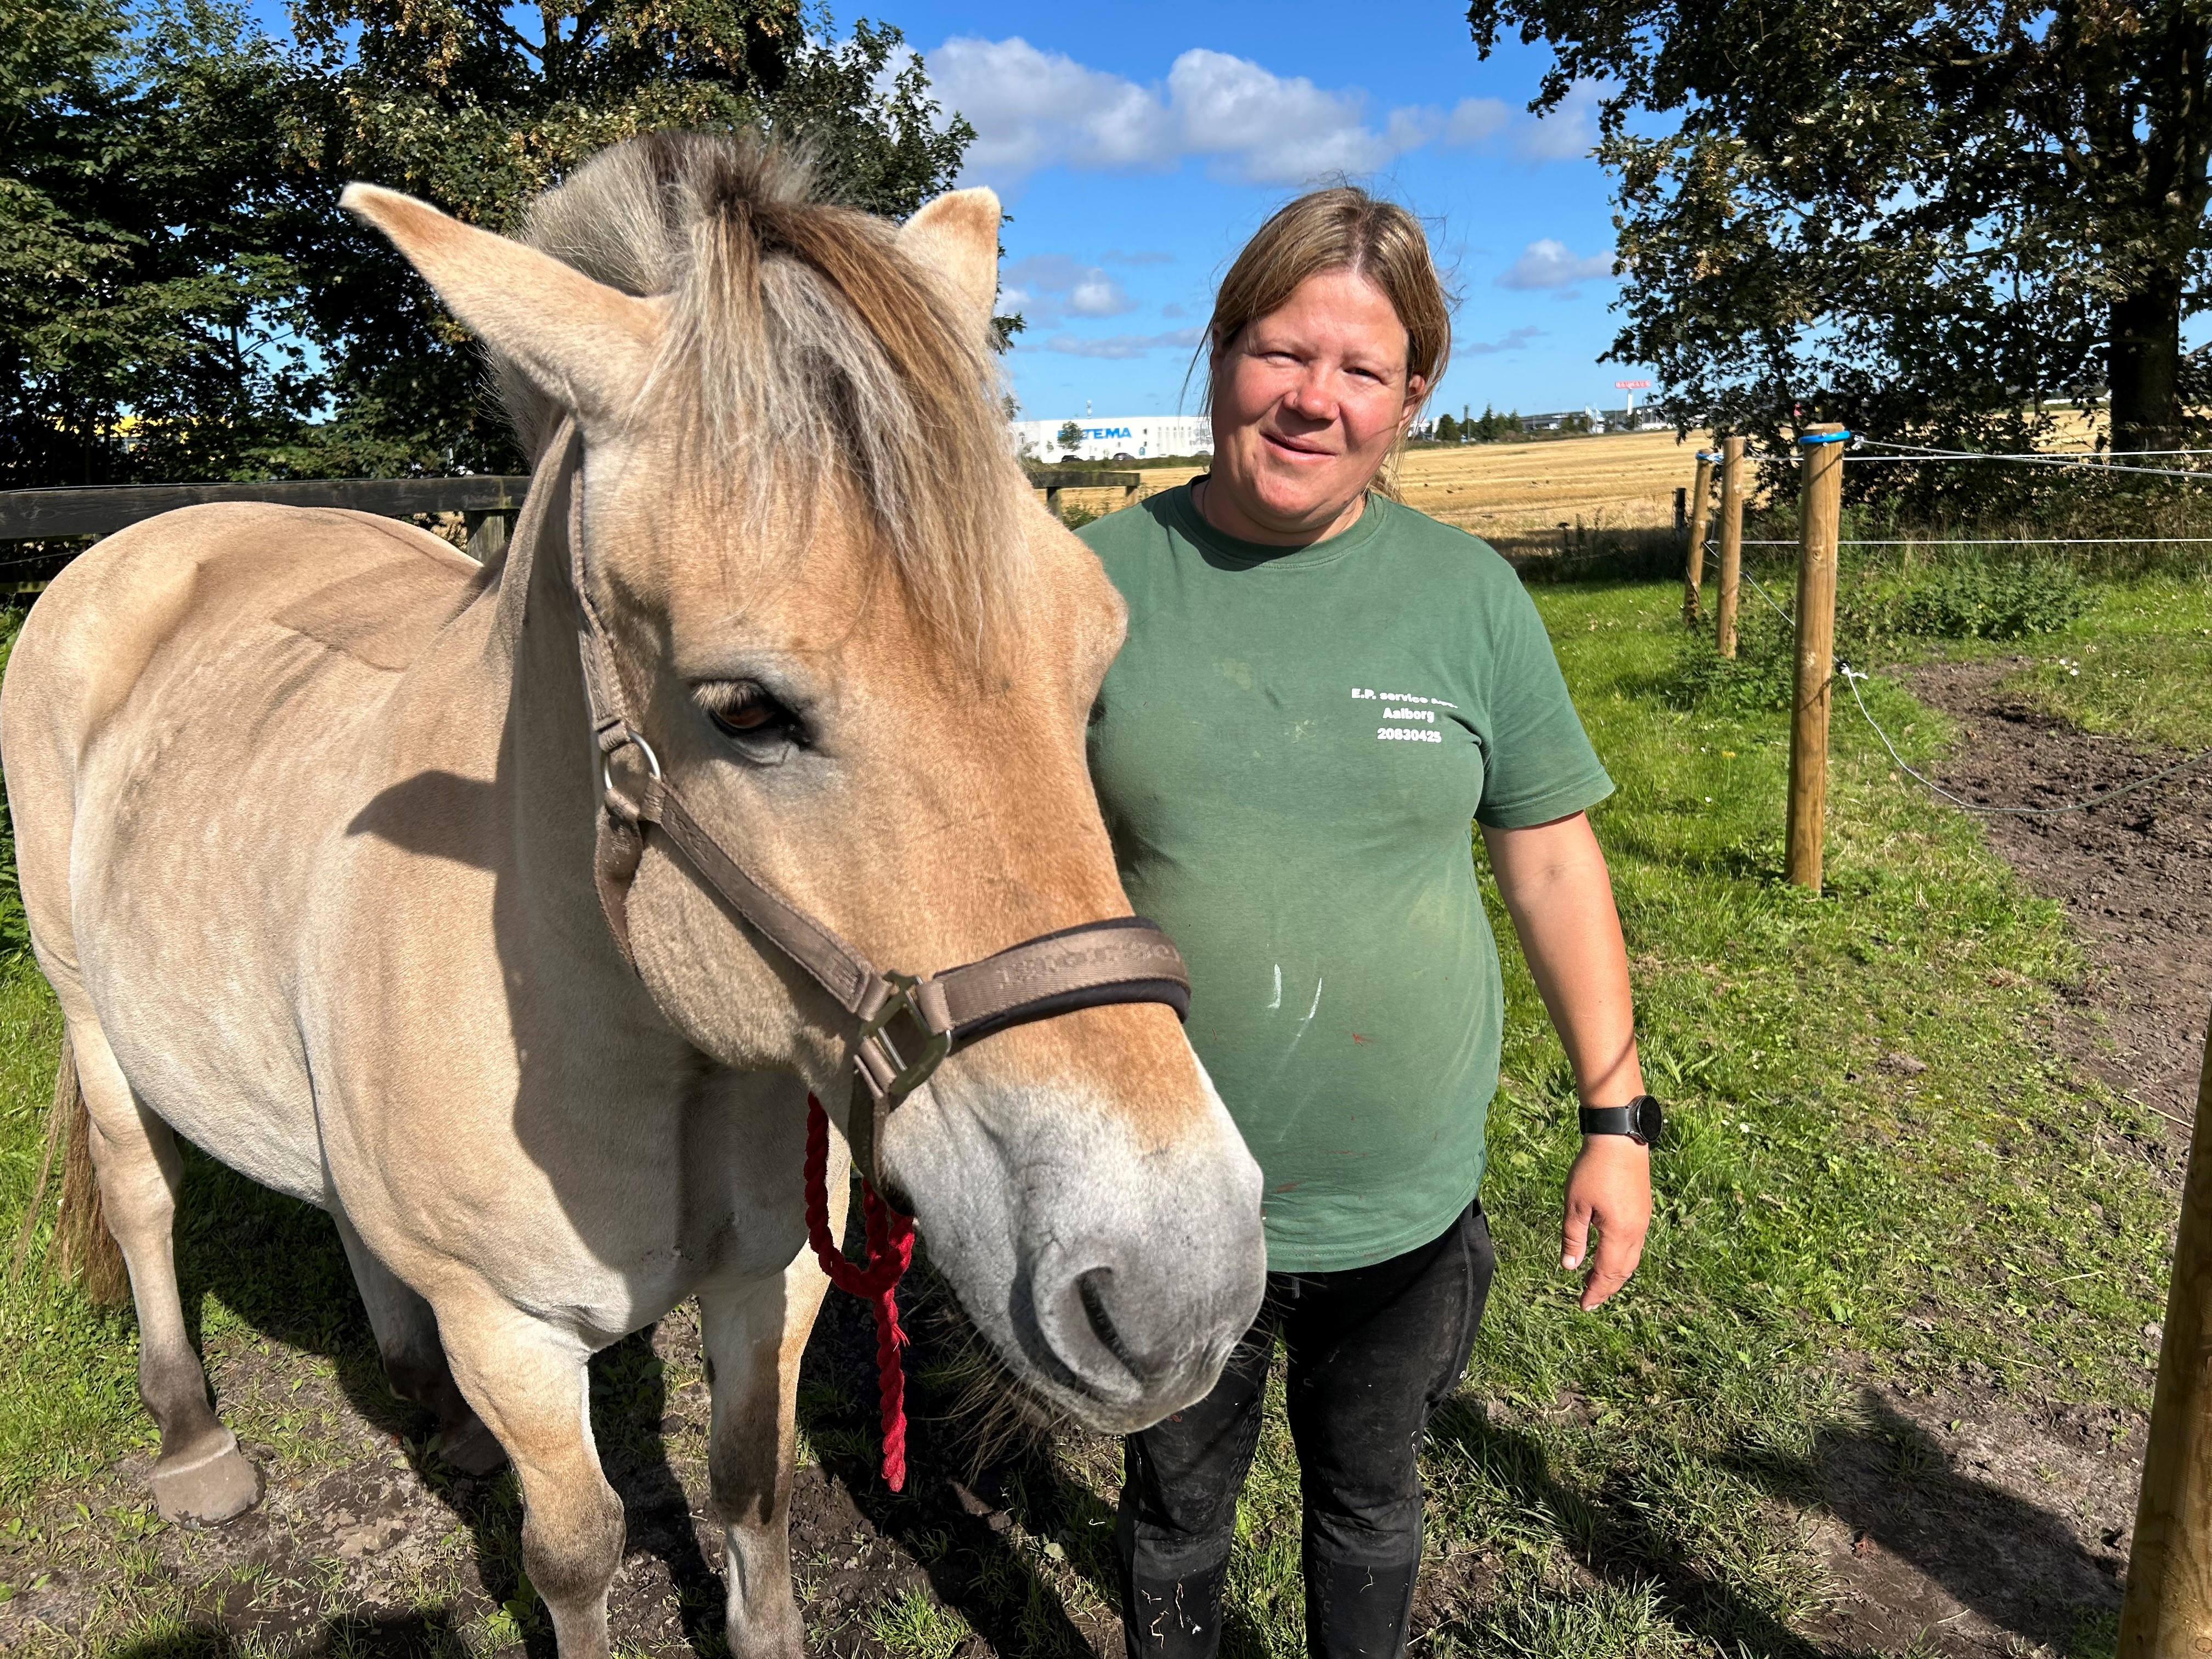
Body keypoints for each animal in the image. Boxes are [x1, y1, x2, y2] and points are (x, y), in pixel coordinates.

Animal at [0, 136, 1274, 1654]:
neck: (637, 1041)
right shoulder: (514, 1334)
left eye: (1096, 656)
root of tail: (147, 540)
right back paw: (194, 1438)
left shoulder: (770, 1280)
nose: (1179, 1290)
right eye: (745, 709)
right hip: (86, 1006)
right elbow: (576, 1553)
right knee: (143, 1196)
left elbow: (747, 1497)